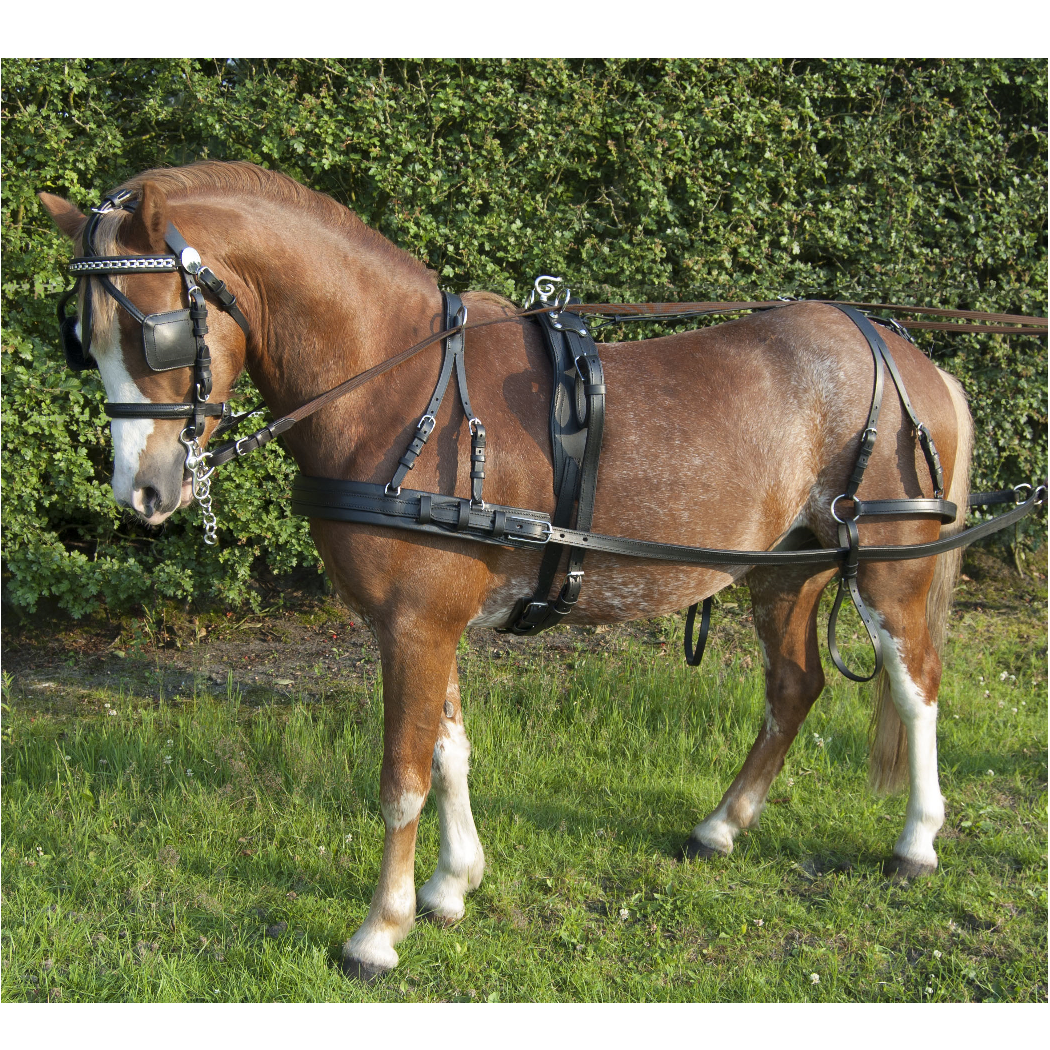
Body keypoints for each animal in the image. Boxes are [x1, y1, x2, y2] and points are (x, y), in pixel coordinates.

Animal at [39, 160, 973, 981]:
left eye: (159, 334)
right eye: (83, 340)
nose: (143, 491)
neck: (401, 388)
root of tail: (901, 349)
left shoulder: (416, 623)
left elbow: (403, 778)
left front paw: (379, 931)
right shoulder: (425, 623)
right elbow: (451, 752)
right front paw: (451, 887)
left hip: (887, 568)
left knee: (915, 685)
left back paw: (916, 841)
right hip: (784, 570)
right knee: (794, 686)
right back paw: (722, 825)